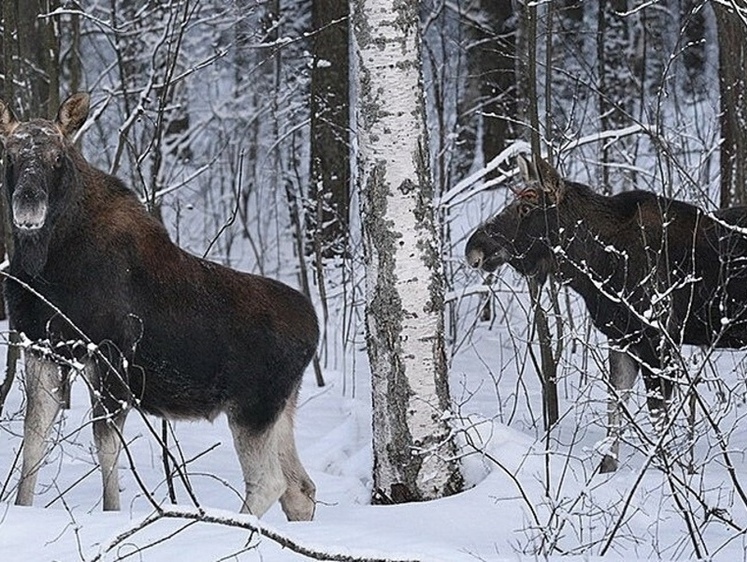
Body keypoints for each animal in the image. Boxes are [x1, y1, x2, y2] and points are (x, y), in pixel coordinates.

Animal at [0, 94, 318, 520]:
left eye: (57, 157)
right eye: (10, 153)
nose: (28, 205)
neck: (45, 265)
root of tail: (314, 330)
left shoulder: (110, 353)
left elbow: (107, 445)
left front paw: (112, 513)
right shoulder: (43, 348)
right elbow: (34, 436)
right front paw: (23, 507)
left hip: (254, 406)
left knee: (270, 482)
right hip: (280, 407)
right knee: (300, 487)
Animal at [468, 152, 747, 468]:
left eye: (526, 207)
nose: (472, 248)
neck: (595, 263)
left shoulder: (658, 338)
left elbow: (657, 415)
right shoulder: (620, 337)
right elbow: (615, 401)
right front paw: (607, 465)